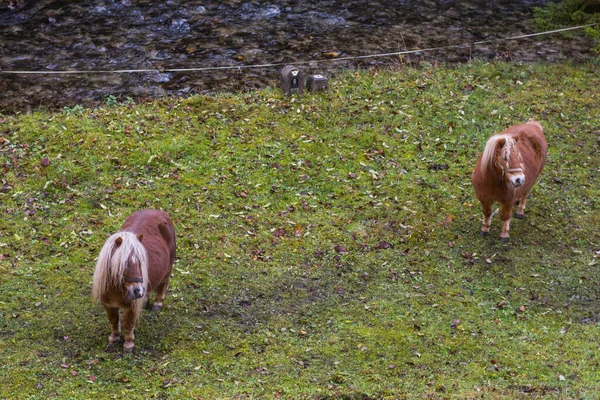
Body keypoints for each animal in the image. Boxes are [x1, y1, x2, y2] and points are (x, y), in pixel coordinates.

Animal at [92, 208, 176, 352]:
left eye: (141, 261)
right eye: (124, 264)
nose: (138, 291)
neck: (117, 289)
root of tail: (158, 211)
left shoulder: (131, 306)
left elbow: (128, 323)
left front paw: (129, 343)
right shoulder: (108, 305)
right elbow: (113, 320)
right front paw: (114, 338)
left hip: (168, 267)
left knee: (163, 284)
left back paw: (157, 303)